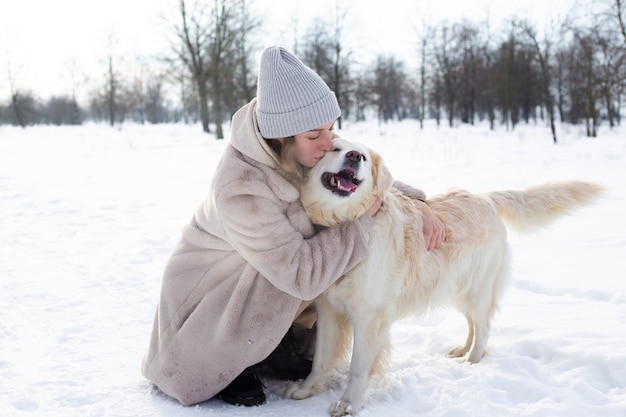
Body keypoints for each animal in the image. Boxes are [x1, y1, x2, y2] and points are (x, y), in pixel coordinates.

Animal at [286, 136, 604, 412]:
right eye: (334, 148)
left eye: (362, 156)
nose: (353, 156)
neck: (344, 221)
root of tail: (486, 198)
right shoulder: (328, 310)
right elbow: (320, 359)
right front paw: (307, 389)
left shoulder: (369, 317)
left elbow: (357, 369)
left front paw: (348, 404)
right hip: (457, 289)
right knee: (473, 324)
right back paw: (463, 350)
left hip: (475, 290)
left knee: (484, 326)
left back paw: (472, 360)